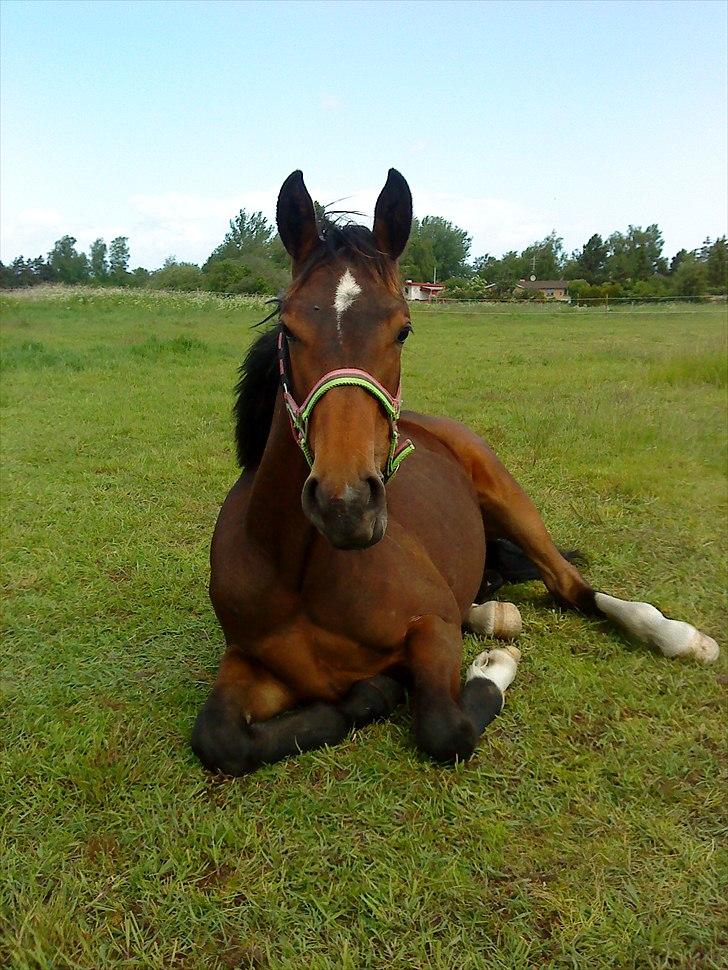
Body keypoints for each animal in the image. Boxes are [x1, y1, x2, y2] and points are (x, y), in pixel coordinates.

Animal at [191, 164, 720, 772]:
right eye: (290, 326)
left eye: (403, 329)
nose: (346, 506)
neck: (298, 574)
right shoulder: (249, 663)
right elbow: (220, 737)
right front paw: (375, 692)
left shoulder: (431, 631)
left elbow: (447, 728)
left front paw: (493, 665)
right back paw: (494, 612)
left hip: (510, 500)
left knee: (569, 585)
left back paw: (677, 636)